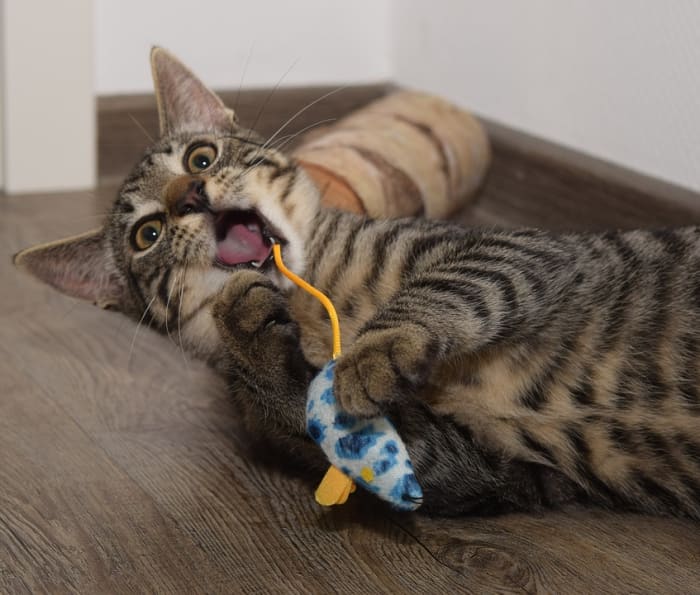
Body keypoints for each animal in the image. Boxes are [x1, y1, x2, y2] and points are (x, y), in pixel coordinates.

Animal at [15, 49, 700, 520]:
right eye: (147, 234)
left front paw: (375, 350)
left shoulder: (519, 249)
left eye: (200, 157)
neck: (324, 303)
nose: (191, 195)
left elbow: (453, 285)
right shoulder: (490, 468)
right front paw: (254, 341)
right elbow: (330, 421)